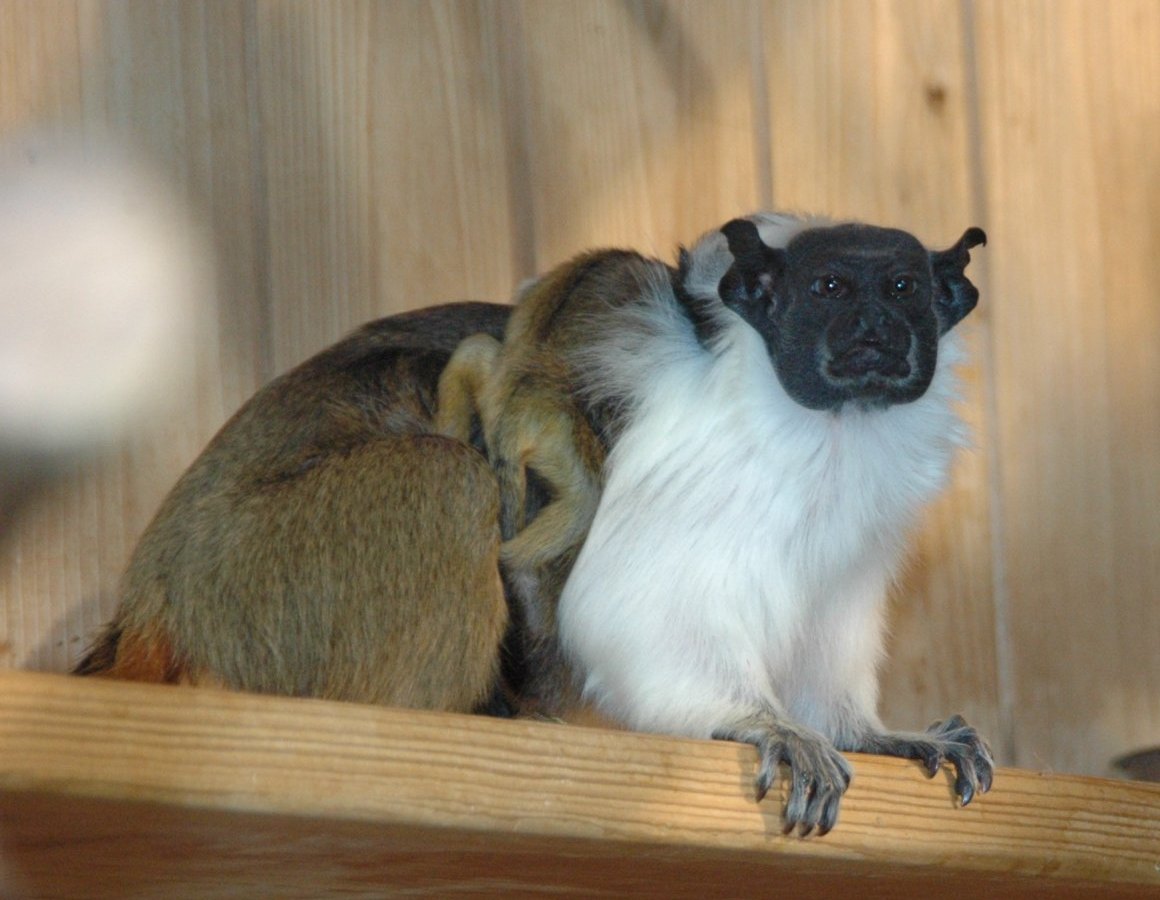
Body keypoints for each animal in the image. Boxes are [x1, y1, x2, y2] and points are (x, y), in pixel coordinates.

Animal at [438, 214, 992, 835]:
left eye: (902, 288)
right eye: (829, 287)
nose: (874, 325)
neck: (835, 431)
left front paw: (867, 733)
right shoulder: (711, 466)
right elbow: (633, 606)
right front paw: (764, 723)